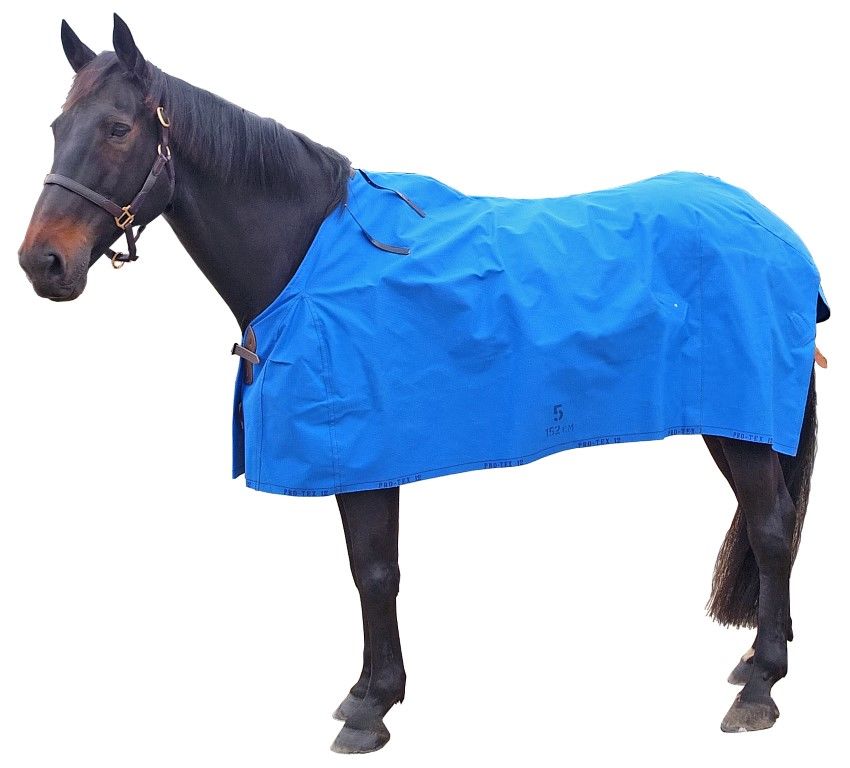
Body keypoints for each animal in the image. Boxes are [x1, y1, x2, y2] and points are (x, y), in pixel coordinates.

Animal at [17, 14, 828, 753]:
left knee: (770, 524)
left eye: (119, 128)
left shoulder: (365, 458)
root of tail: (774, 226)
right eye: (57, 127)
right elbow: (368, 573)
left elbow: (374, 572)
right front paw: (366, 692)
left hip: (745, 419)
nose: (41, 263)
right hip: (731, 420)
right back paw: (758, 655)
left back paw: (761, 687)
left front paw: (374, 706)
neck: (311, 258)